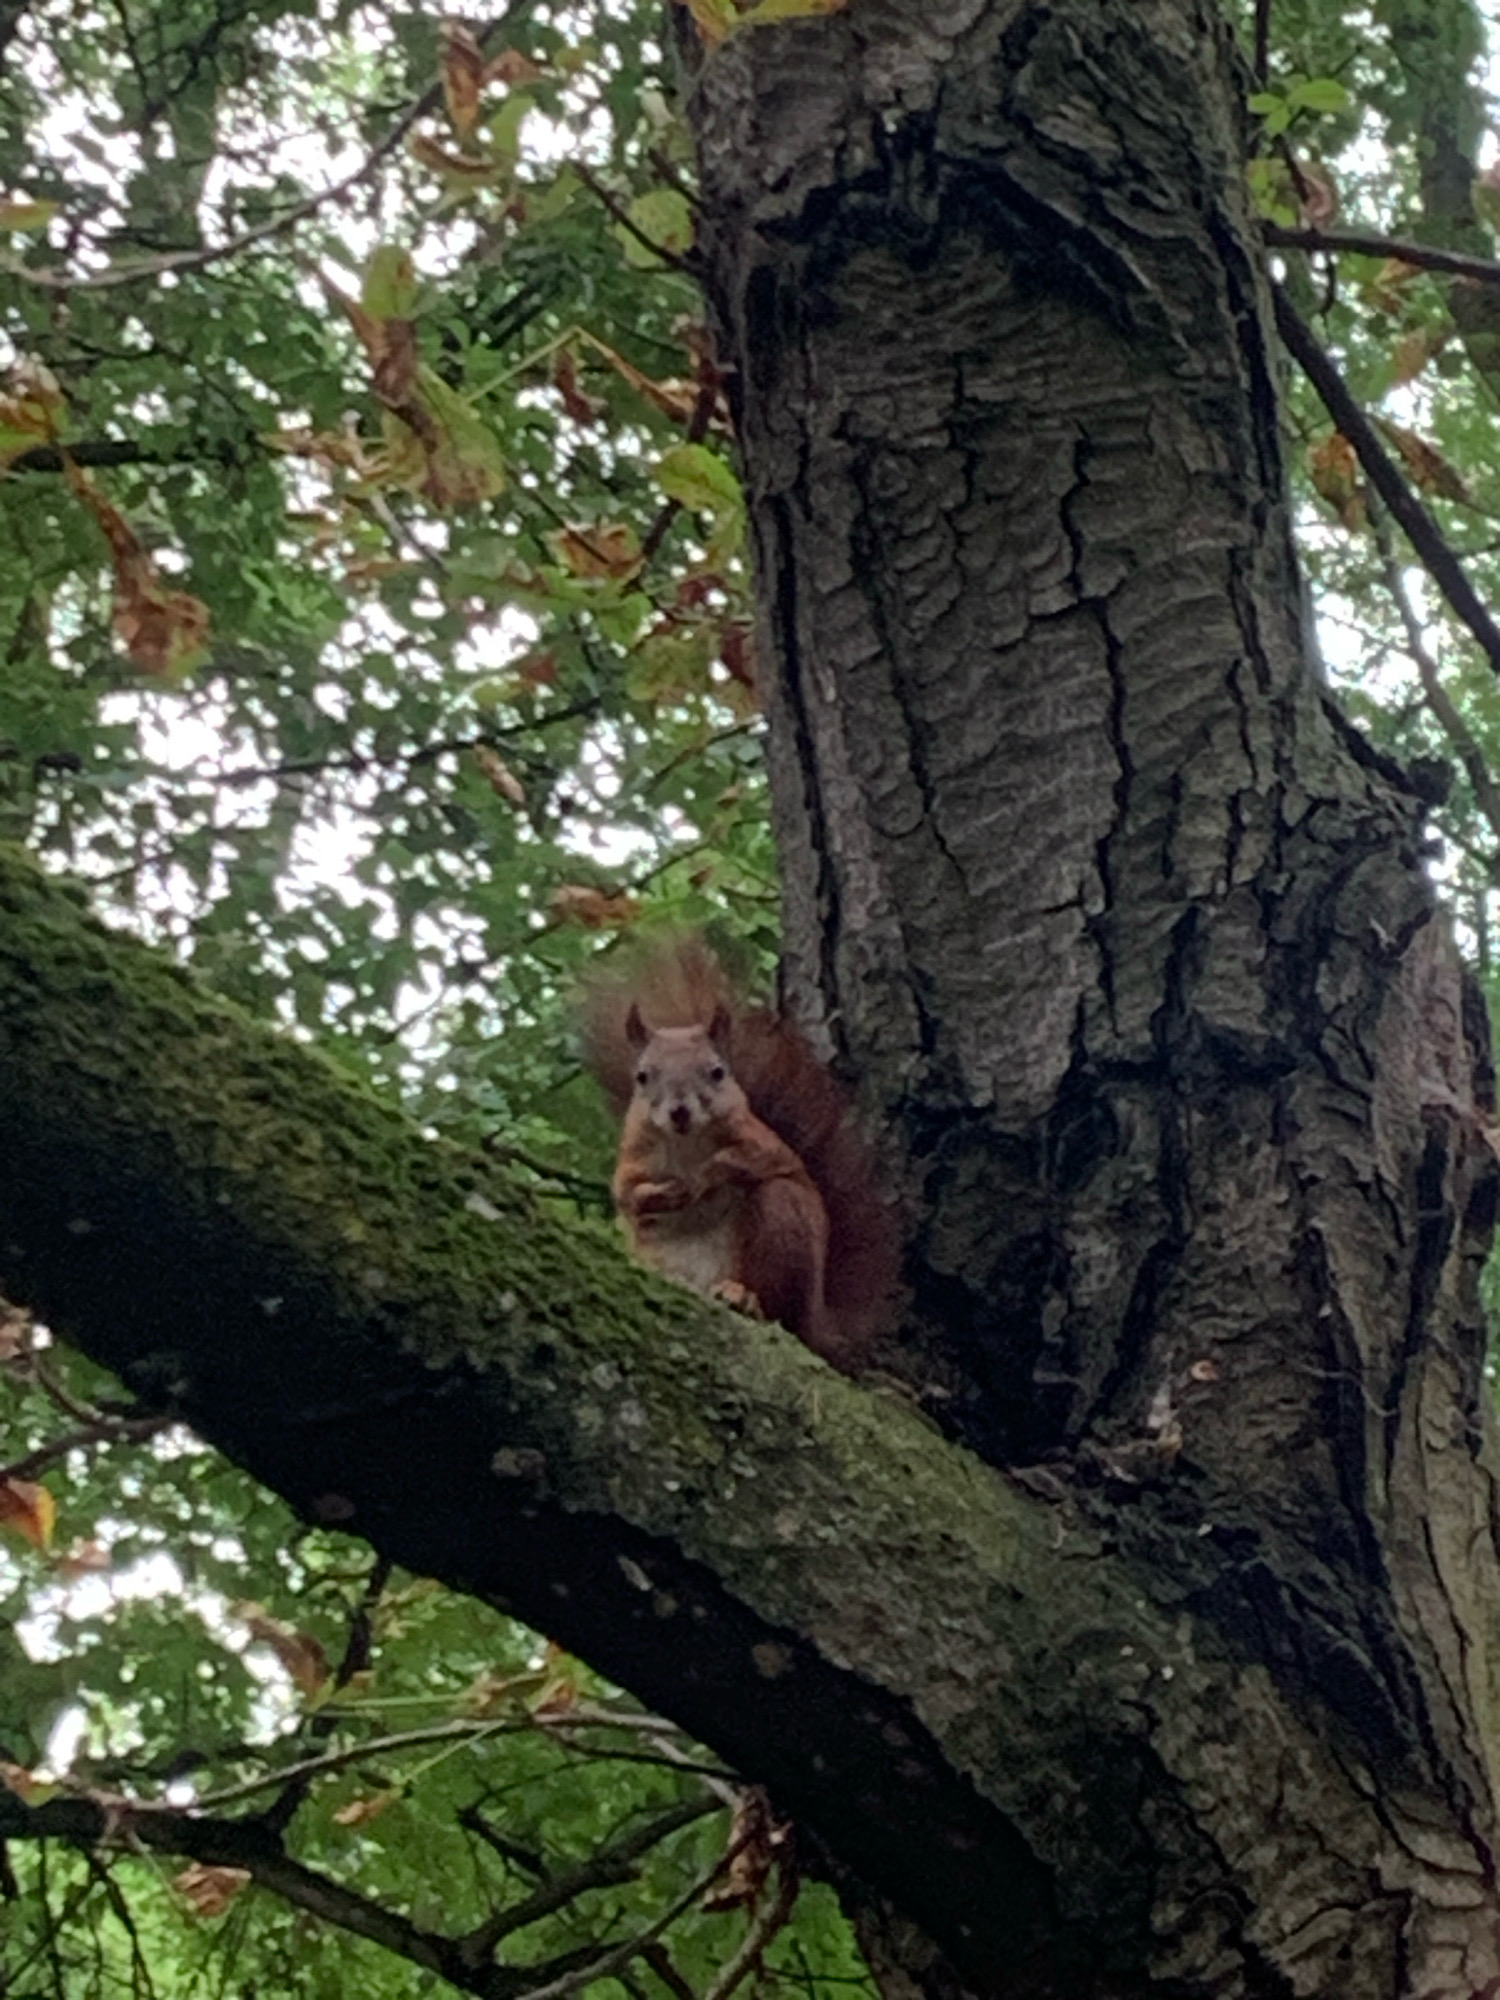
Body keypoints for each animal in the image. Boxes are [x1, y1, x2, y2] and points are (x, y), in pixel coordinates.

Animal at [581, 935, 898, 1374]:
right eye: (642, 1077)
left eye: (717, 1072)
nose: (679, 1111)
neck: (686, 1144)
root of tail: (818, 1319)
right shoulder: (633, 1158)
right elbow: (626, 1194)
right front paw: (663, 1194)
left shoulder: (761, 1142)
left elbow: (743, 1160)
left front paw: (702, 1178)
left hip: (783, 1222)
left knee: (777, 1305)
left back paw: (744, 1297)